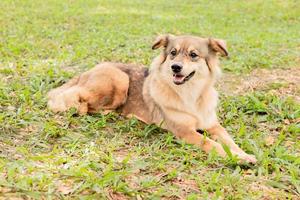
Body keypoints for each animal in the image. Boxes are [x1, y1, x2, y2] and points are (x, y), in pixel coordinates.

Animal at [48, 34, 256, 163]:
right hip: (120, 79)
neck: (190, 94)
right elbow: (211, 144)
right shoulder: (185, 132)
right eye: (173, 53)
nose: (175, 67)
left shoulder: (213, 125)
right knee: (76, 99)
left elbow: (229, 141)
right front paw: (238, 158)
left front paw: (243, 154)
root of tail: (87, 71)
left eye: (193, 55)